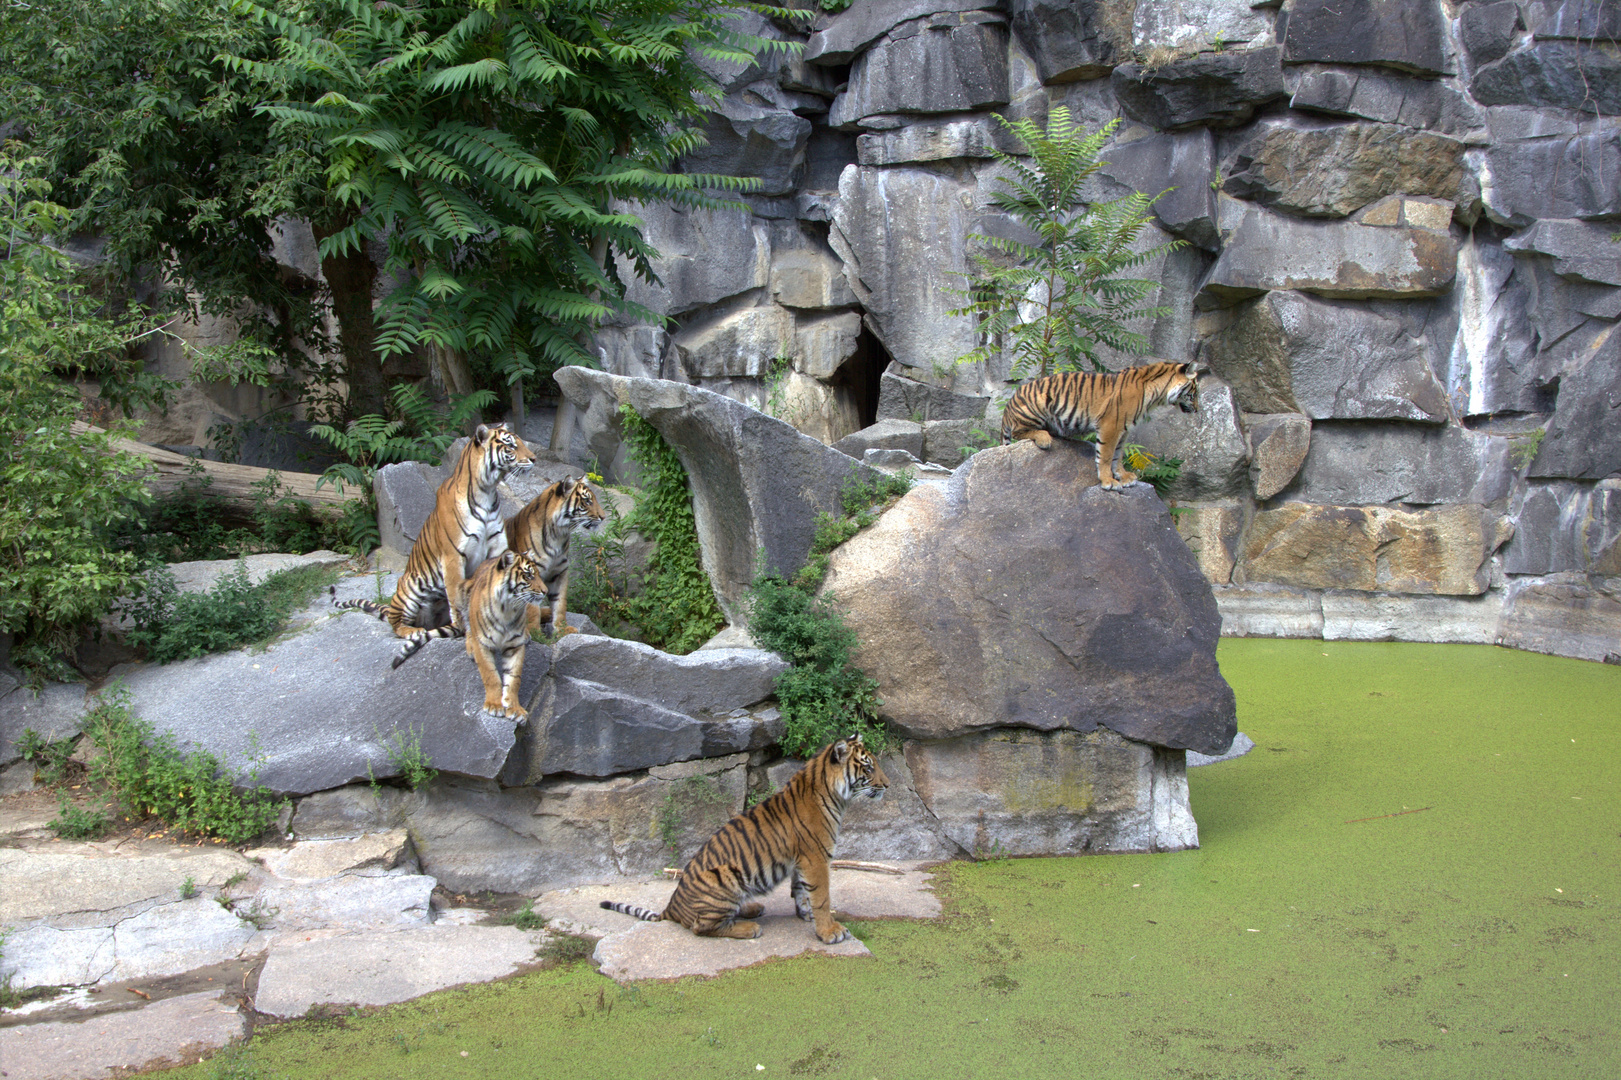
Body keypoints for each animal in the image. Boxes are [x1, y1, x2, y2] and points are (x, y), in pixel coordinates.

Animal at [335, 421, 538, 635]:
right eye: (510, 446)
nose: (534, 458)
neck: (487, 491)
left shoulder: (497, 549)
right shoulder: (453, 556)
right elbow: (455, 593)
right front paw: (464, 627)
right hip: (410, 587)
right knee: (397, 624)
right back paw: (413, 631)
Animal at [392, 551, 551, 720]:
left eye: (538, 574)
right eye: (528, 575)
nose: (545, 591)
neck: (508, 609)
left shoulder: (515, 646)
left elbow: (514, 679)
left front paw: (514, 708)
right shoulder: (482, 643)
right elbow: (490, 676)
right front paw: (494, 705)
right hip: (461, 592)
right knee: (466, 627)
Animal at [502, 473, 606, 638]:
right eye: (587, 500)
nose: (603, 517)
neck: (558, 534)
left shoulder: (559, 572)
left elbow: (560, 602)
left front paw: (562, 629)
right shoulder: (531, 574)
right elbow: (532, 607)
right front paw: (535, 632)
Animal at [603, 726, 894, 940]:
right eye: (868, 767)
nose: (889, 785)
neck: (836, 795)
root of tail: (671, 907)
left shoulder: (802, 860)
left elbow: (801, 890)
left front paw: (806, 915)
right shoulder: (816, 858)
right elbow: (821, 896)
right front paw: (830, 931)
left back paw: (752, 909)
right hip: (723, 876)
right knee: (702, 927)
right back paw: (749, 928)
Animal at [998, 361, 1206, 492]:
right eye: (1194, 393)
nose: (1197, 409)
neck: (1156, 394)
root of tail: (1009, 405)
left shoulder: (1124, 430)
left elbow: (1117, 455)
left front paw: (1123, 476)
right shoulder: (1111, 426)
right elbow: (1105, 455)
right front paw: (1108, 482)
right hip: (1037, 404)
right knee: (1019, 432)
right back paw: (1044, 438)